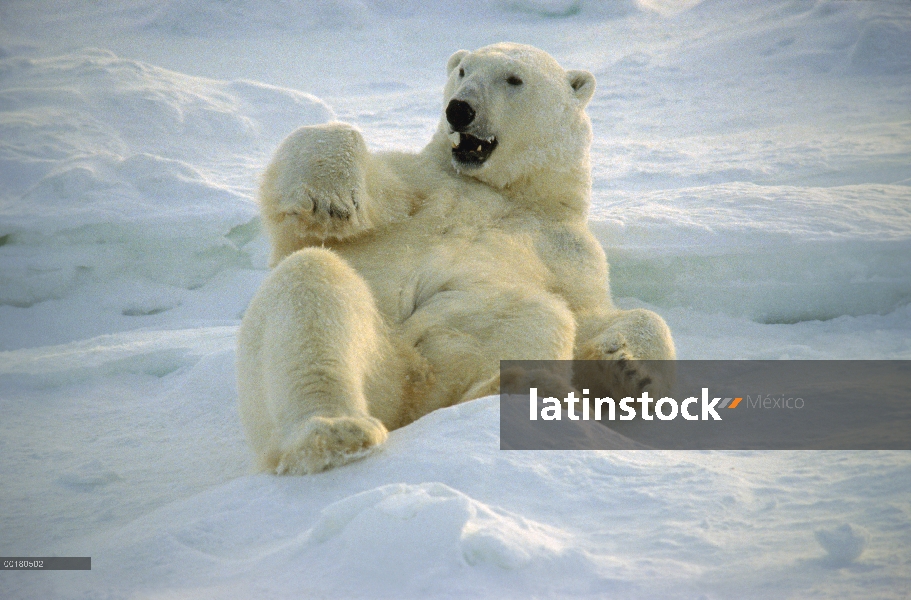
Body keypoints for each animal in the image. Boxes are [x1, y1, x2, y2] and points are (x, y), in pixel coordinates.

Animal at [239, 43, 672, 474]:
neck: (505, 193)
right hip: (371, 362)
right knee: (312, 282)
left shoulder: (565, 247)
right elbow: (325, 210)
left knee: (537, 314)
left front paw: (630, 367)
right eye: (463, 70)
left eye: (514, 79)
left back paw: (511, 386)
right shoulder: (420, 184)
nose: (459, 109)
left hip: (435, 367)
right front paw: (331, 199)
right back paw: (332, 432)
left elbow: (590, 312)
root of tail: (409, 394)